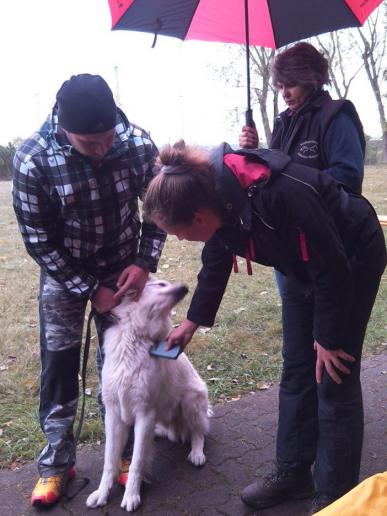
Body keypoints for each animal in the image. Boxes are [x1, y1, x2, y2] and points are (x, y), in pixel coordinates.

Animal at [86, 278, 211, 512]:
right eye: (161, 284)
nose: (185, 287)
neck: (135, 339)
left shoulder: (144, 414)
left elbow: (136, 462)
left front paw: (131, 496)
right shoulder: (113, 414)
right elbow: (110, 460)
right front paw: (102, 493)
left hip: (191, 401)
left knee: (199, 433)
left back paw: (197, 453)